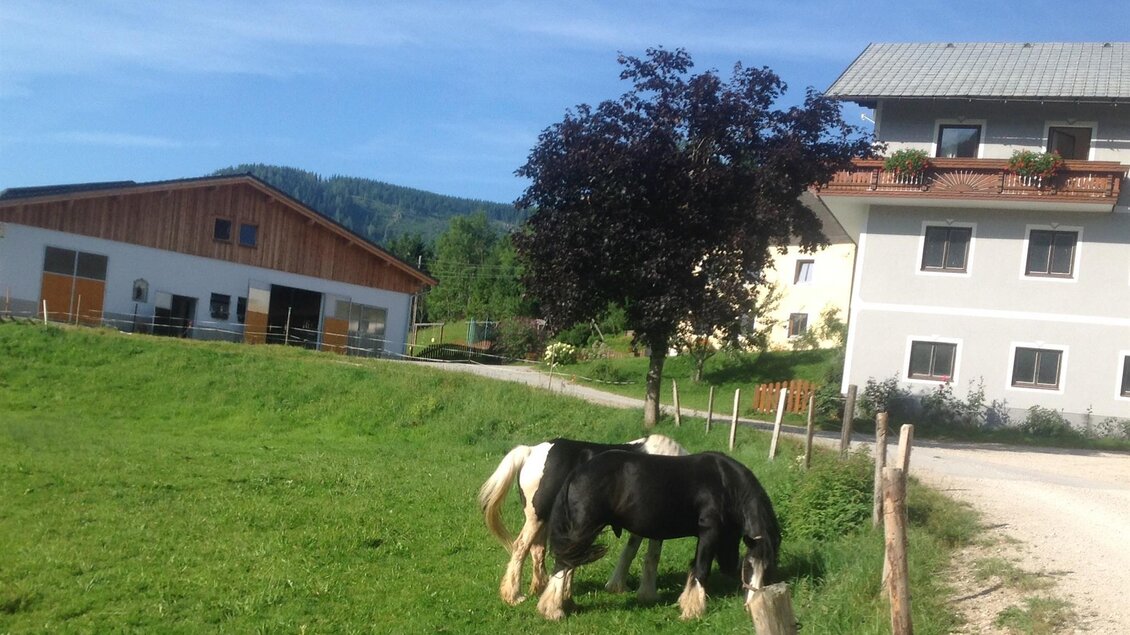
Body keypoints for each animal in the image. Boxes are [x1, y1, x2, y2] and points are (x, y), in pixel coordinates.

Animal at [478, 435, 688, 605]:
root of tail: (532, 451)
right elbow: (652, 556)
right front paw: (648, 594)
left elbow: (630, 551)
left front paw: (617, 586)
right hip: (536, 518)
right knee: (521, 547)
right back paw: (514, 596)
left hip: (545, 521)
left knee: (538, 550)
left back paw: (542, 588)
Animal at [537, 450, 780, 621]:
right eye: (748, 567)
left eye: (767, 568)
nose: (752, 607)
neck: (724, 482)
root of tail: (578, 473)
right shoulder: (709, 532)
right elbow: (702, 570)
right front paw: (693, 611)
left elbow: (696, 567)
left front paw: (686, 602)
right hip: (582, 530)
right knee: (563, 564)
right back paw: (553, 610)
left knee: (568, 564)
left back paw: (565, 604)